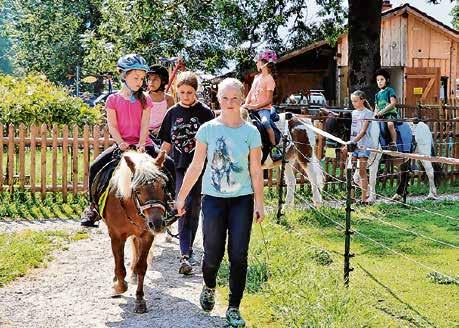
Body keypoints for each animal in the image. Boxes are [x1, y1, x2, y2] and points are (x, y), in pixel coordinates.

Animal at [103, 151, 170, 312]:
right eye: (138, 190)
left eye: (163, 186)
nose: (157, 224)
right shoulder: (116, 237)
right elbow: (120, 268)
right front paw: (118, 287)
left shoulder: (147, 236)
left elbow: (141, 267)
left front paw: (139, 300)